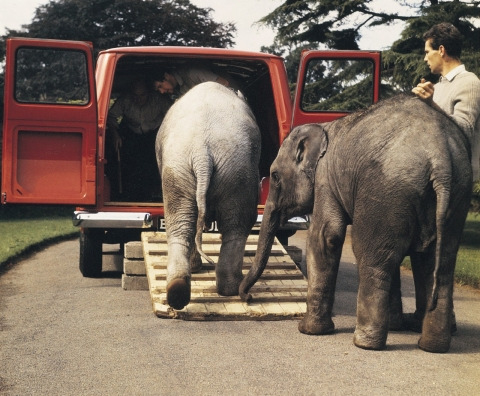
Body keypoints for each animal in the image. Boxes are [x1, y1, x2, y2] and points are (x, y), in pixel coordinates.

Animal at [157, 81, 262, 310]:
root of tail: (202, 152)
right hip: (232, 170)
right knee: (236, 225)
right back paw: (228, 287)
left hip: (185, 169)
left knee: (182, 223)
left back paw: (180, 291)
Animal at [238, 93, 470, 352]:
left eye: (275, 177)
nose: (248, 298)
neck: (324, 128)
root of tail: (440, 158)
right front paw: (396, 326)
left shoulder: (325, 179)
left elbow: (325, 236)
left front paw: (308, 331)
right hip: (456, 194)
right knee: (437, 263)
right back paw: (431, 345)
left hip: (385, 191)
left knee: (372, 256)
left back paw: (365, 343)